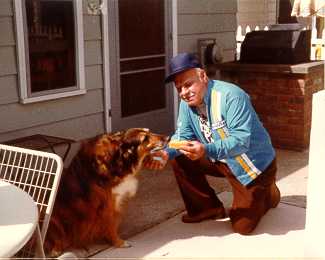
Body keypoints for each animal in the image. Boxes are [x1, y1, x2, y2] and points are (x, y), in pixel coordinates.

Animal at [43, 127, 167, 256]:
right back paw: (56, 250)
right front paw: (119, 243)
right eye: (144, 138)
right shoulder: (107, 205)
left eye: (148, 131)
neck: (117, 159)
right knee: (56, 238)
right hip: (53, 217)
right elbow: (111, 226)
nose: (168, 138)